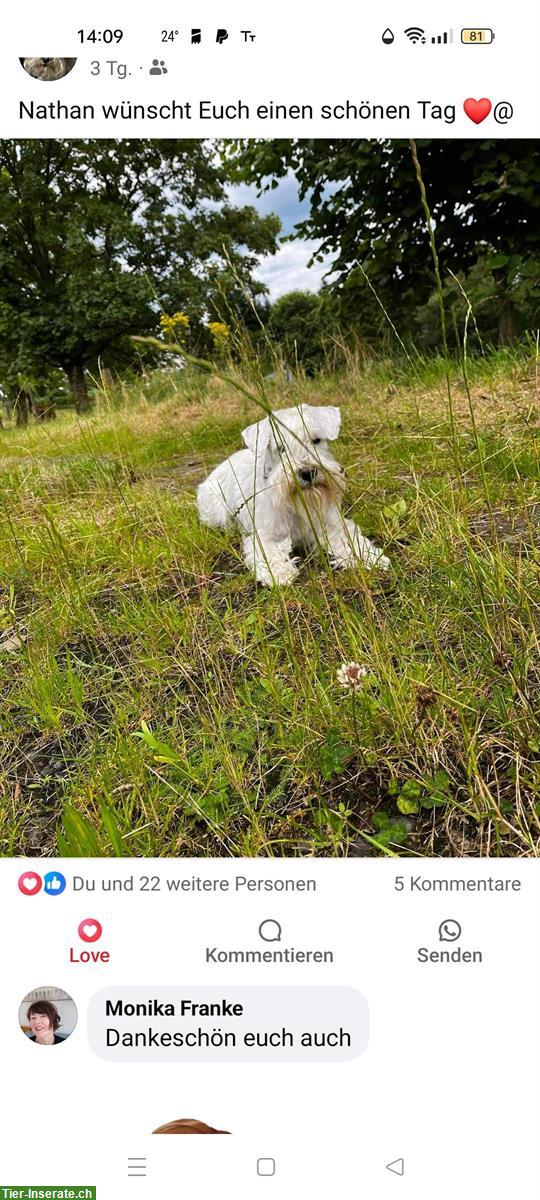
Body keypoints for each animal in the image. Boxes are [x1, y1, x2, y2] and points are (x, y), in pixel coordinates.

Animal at [196, 405, 388, 588]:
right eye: (281, 448)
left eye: (316, 440)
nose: (307, 472)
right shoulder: (267, 535)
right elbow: (271, 555)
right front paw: (279, 574)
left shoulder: (333, 525)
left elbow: (350, 541)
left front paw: (370, 557)